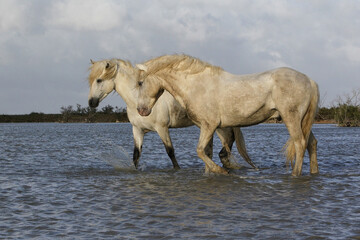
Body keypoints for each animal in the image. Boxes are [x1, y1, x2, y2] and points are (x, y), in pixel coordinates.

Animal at [87, 58, 258, 169]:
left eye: (99, 80)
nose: (91, 103)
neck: (136, 99)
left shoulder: (162, 128)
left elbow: (170, 152)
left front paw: (177, 170)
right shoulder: (138, 130)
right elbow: (136, 155)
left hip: (220, 127)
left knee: (228, 141)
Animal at [136, 54, 320, 176]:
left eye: (140, 82)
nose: (141, 110)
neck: (196, 86)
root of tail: (309, 80)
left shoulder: (209, 125)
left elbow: (200, 151)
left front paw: (221, 171)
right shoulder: (206, 127)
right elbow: (207, 153)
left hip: (291, 118)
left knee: (300, 143)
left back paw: (295, 174)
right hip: (303, 120)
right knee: (311, 143)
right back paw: (314, 172)